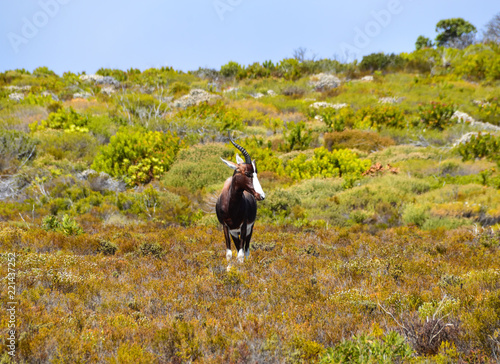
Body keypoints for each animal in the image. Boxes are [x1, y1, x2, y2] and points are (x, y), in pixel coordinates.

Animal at [217, 136, 268, 268]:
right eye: (248, 173)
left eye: (256, 172)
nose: (261, 195)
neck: (231, 207)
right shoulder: (226, 227)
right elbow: (229, 253)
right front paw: (229, 269)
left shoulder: (244, 226)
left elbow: (241, 254)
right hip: (235, 232)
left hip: (249, 229)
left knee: (246, 250)